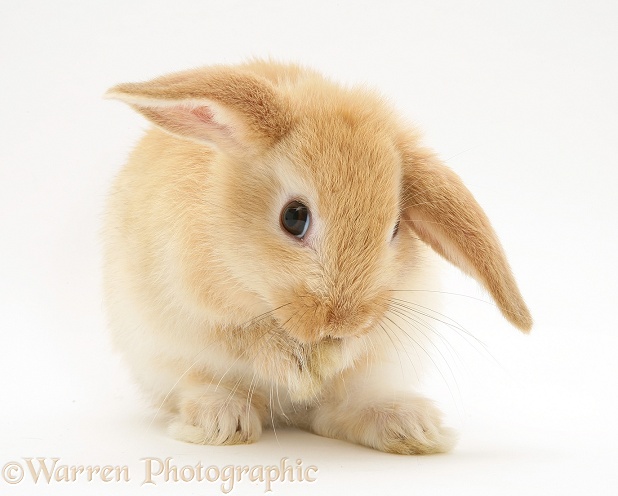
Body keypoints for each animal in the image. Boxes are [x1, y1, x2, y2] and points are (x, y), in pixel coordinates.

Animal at [102, 60, 528, 456]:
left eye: (395, 229)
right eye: (293, 217)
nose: (343, 321)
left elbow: (358, 347)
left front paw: (334, 355)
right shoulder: (196, 307)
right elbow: (245, 338)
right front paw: (297, 367)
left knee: (335, 413)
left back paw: (413, 428)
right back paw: (222, 421)